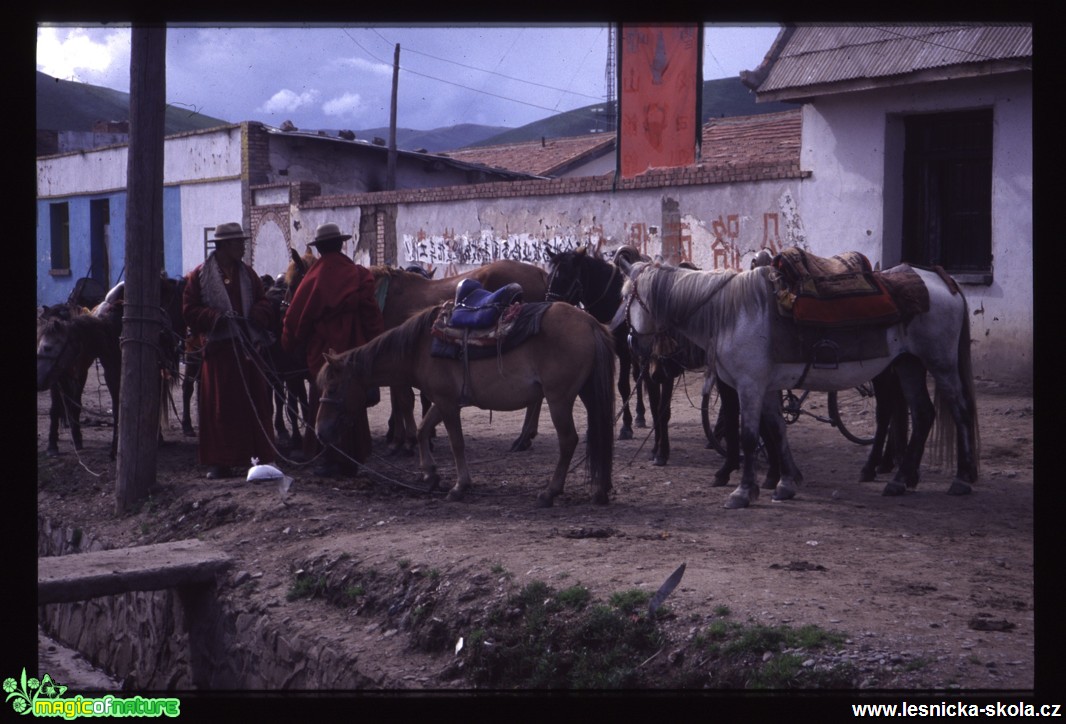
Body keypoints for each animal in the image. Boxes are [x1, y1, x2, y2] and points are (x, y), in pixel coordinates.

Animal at [313, 300, 618, 509]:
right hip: (587, 394)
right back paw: (600, 490)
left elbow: (456, 442)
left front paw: (460, 486)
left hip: (558, 399)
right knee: (600, 434)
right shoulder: (442, 401)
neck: (419, 346)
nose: (320, 431)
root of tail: (590, 322)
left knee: (568, 440)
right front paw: (430, 475)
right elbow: (423, 430)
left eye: (333, 387)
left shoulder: (448, 404)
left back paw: (550, 492)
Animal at [370, 259, 550, 452]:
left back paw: (523, 437)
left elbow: (403, 400)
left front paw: (405, 440)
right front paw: (402, 437)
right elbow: (401, 400)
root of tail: (539, 272)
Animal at [618, 259, 980, 509]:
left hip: (941, 364)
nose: (632, 345)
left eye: (627, 298)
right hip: (908, 365)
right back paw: (900, 480)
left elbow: (748, 436)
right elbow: (777, 432)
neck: (730, 313)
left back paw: (961, 478)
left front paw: (743, 491)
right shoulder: (766, 388)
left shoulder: (749, 386)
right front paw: (785, 483)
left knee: (959, 411)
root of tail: (941, 280)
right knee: (922, 415)